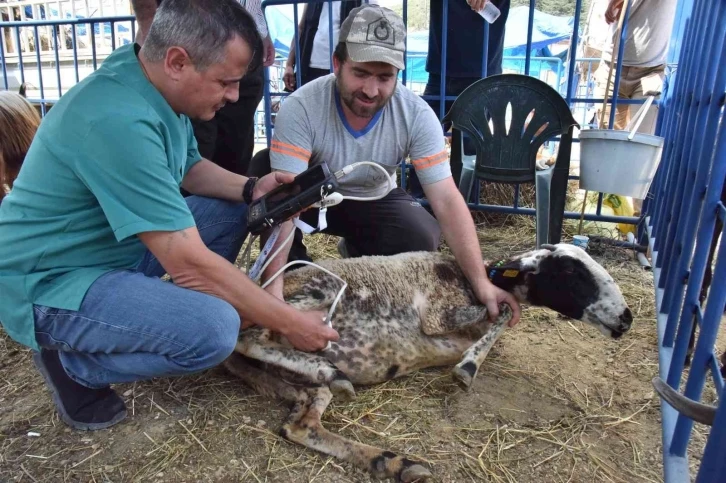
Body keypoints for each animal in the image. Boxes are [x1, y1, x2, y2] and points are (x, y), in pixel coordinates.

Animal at [225, 244, 636, 482]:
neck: (469, 279)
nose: (627, 318)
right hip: (310, 295)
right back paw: (328, 370)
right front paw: (468, 369)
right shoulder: (437, 314)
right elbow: (504, 309)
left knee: (300, 423)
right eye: (569, 271)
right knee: (249, 337)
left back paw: (391, 463)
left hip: (305, 382)